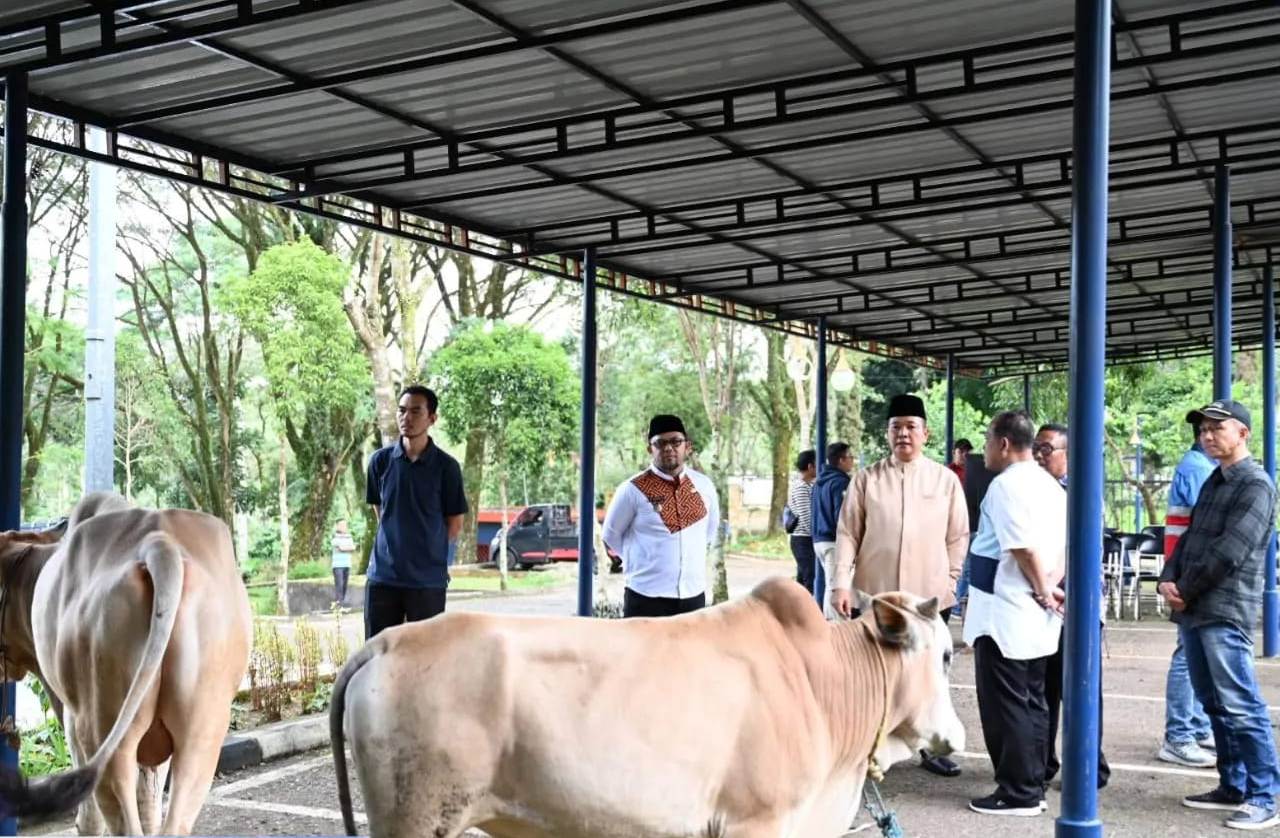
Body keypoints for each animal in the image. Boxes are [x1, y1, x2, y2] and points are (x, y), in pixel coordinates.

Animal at [0, 493, 250, 834]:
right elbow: (149, 805)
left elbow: (91, 818)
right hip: (203, 729)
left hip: (99, 722)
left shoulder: (69, 718)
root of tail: (159, 542)